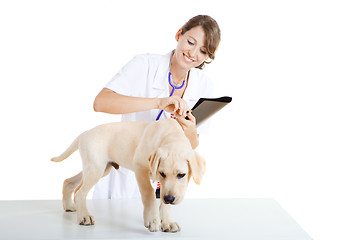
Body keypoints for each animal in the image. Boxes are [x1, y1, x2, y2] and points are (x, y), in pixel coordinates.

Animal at [52, 119, 207, 232]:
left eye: (181, 175)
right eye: (162, 173)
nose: (169, 198)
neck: (169, 135)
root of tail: (84, 133)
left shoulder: (166, 189)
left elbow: (164, 202)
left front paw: (167, 222)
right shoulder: (140, 168)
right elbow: (149, 193)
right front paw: (152, 220)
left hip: (100, 168)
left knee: (69, 181)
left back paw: (69, 206)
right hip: (96, 168)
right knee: (80, 192)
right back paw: (84, 216)